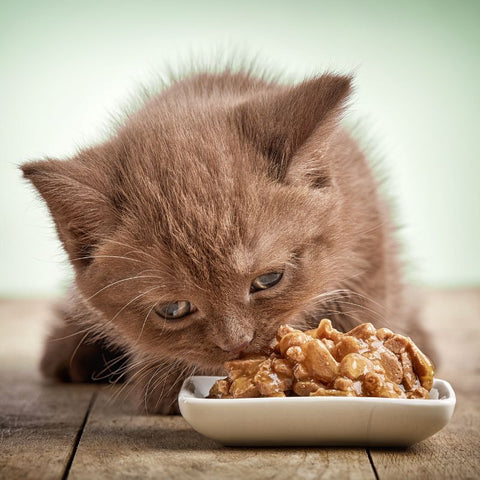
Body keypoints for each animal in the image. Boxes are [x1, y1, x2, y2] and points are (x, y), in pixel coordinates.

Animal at [21, 66, 432, 412]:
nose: (237, 342)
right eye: (174, 309)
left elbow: (365, 309)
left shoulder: (369, 237)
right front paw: (168, 382)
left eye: (269, 279)